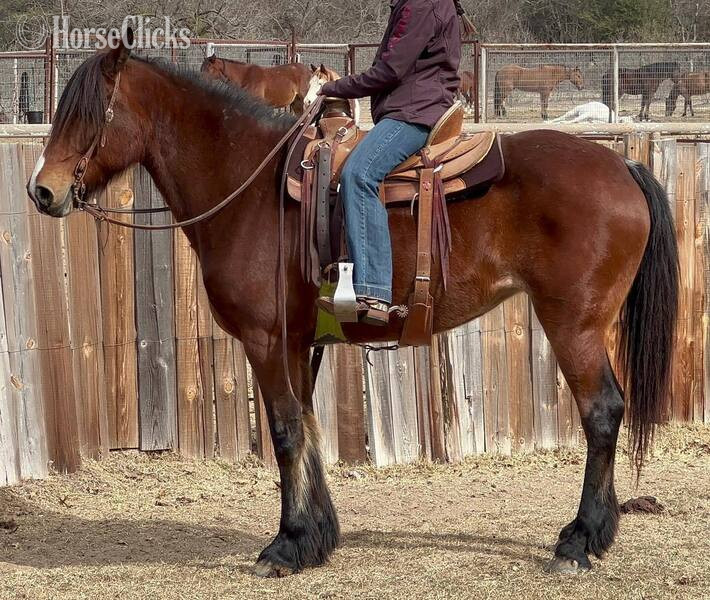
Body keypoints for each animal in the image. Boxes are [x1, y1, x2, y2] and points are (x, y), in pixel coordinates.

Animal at [28, 36, 678, 579]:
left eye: (88, 113)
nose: (42, 190)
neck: (252, 187)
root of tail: (621, 165)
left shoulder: (266, 341)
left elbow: (286, 433)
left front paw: (286, 545)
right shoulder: (297, 344)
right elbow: (308, 429)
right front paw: (316, 537)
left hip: (574, 325)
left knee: (602, 412)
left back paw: (579, 540)